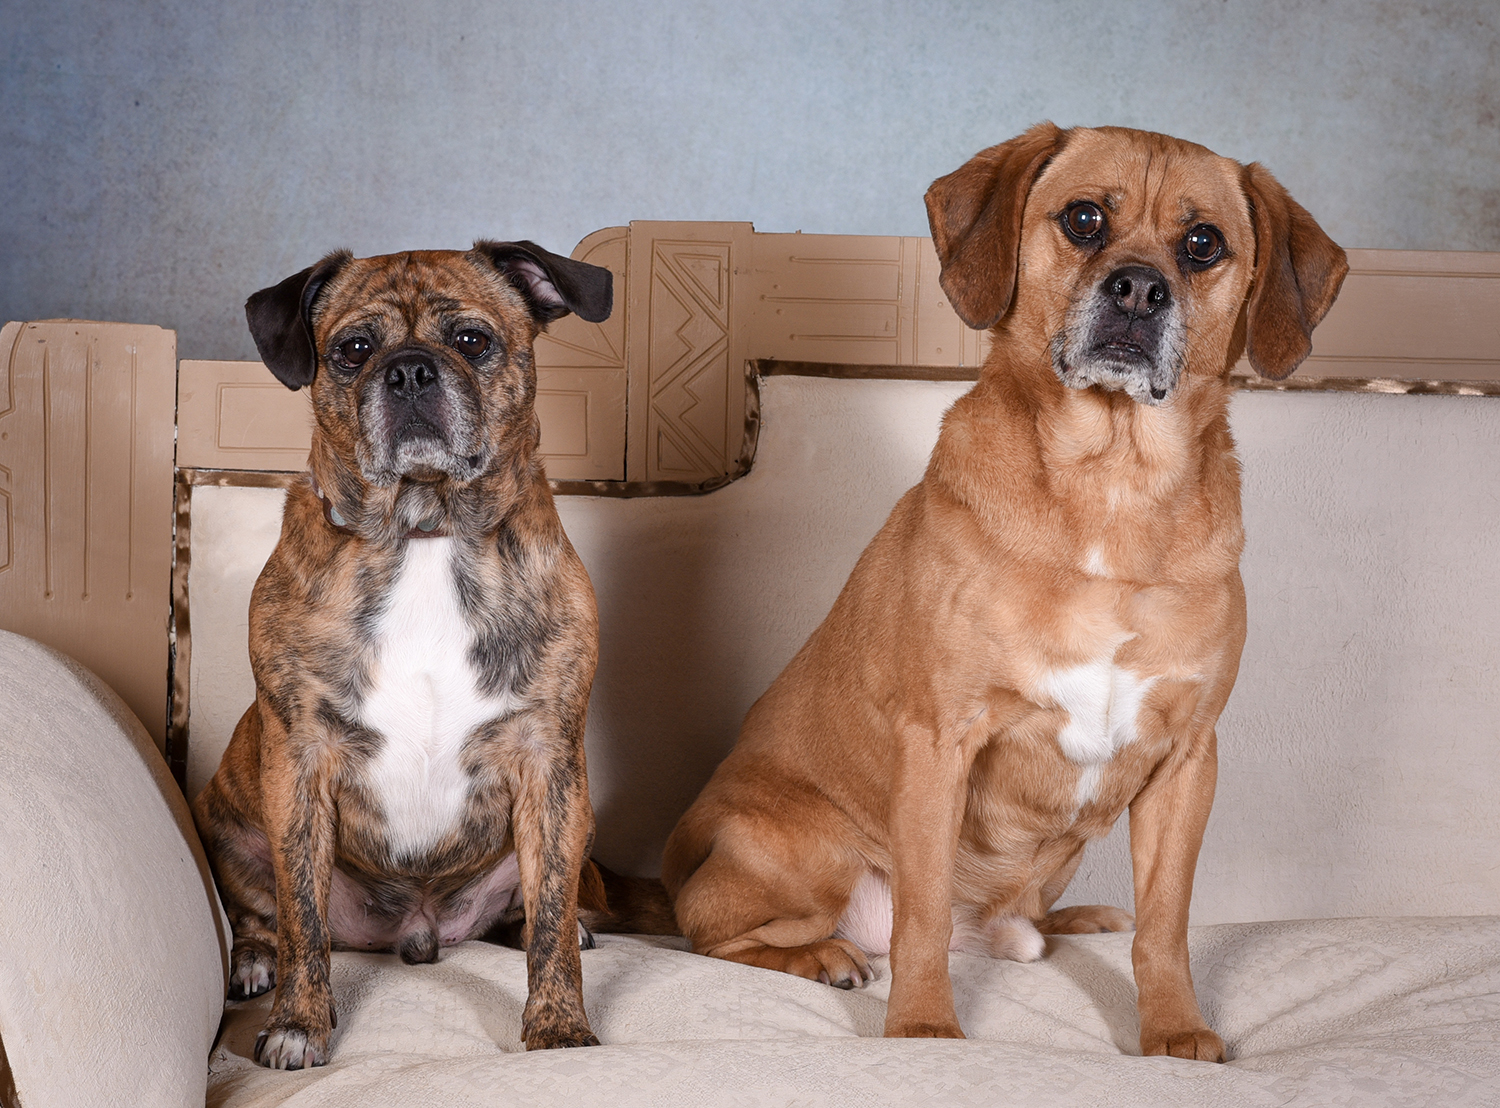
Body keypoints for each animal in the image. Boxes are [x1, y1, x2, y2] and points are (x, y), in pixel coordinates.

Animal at [192, 240, 613, 1068]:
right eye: (354, 350)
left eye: (472, 340)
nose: (411, 370)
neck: (425, 531)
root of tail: (420, 932)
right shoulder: (300, 764)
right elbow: (304, 921)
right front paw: (298, 1024)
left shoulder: (548, 765)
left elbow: (550, 920)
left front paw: (557, 1023)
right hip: (231, 824)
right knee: (264, 914)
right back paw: (252, 960)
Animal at [662, 123, 1348, 1060]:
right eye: (1085, 218)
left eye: (1203, 242)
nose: (1139, 289)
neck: (1112, 487)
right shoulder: (939, 743)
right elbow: (919, 918)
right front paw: (922, 1026)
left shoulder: (1186, 763)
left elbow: (1166, 927)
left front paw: (1175, 1029)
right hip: (814, 855)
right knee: (714, 931)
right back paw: (825, 956)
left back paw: (1073, 919)